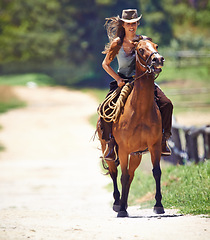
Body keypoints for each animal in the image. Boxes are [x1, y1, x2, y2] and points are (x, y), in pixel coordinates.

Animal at [97, 39, 165, 218]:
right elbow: (123, 176)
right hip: (109, 151)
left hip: (136, 154)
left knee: (131, 175)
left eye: (156, 46)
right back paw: (117, 204)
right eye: (140, 50)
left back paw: (125, 204)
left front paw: (158, 205)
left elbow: (156, 172)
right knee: (114, 173)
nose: (158, 59)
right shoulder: (123, 149)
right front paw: (120, 209)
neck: (140, 110)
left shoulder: (154, 146)